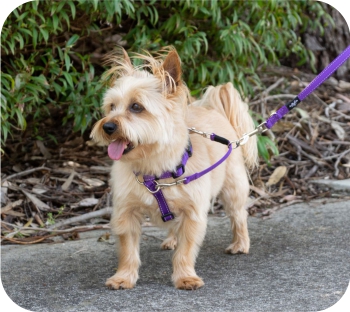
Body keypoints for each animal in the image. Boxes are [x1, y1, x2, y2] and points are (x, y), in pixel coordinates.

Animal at [91, 47, 258, 290]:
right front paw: (123, 277)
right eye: (111, 107)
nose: (108, 126)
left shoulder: (192, 214)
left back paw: (240, 243)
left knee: (238, 215)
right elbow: (128, 250)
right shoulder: (125, 213)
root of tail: (214, 110)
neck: (154, 171)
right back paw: (171, 239)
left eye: (136, 107)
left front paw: (185, 277)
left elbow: (185, 251)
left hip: (232, 189)